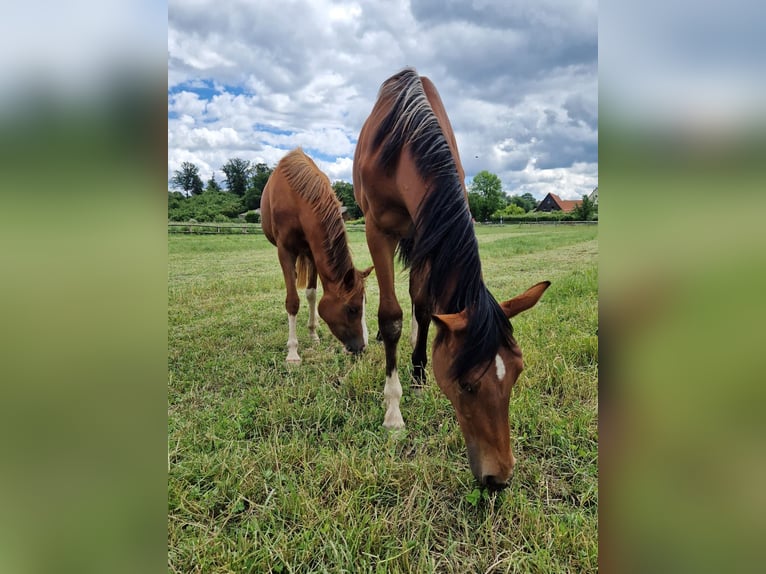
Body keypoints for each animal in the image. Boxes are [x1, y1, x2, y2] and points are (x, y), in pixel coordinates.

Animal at [262, 148, 374, 364]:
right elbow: (293, 301)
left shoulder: (312, 251)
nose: (363, 347)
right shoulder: (285, 251)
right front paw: (293, 352)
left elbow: (312, 294)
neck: (296, 198)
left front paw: (313, 333)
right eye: (352, 309)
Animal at [354, 68, 552, 490]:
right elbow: (391, 316)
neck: (403, 142)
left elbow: (424, 306)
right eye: (466, 384)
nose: (499, 477)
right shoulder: (378, 230)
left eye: (517, 373)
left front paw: (418, 376)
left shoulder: (430, 229)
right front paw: (393, 414)